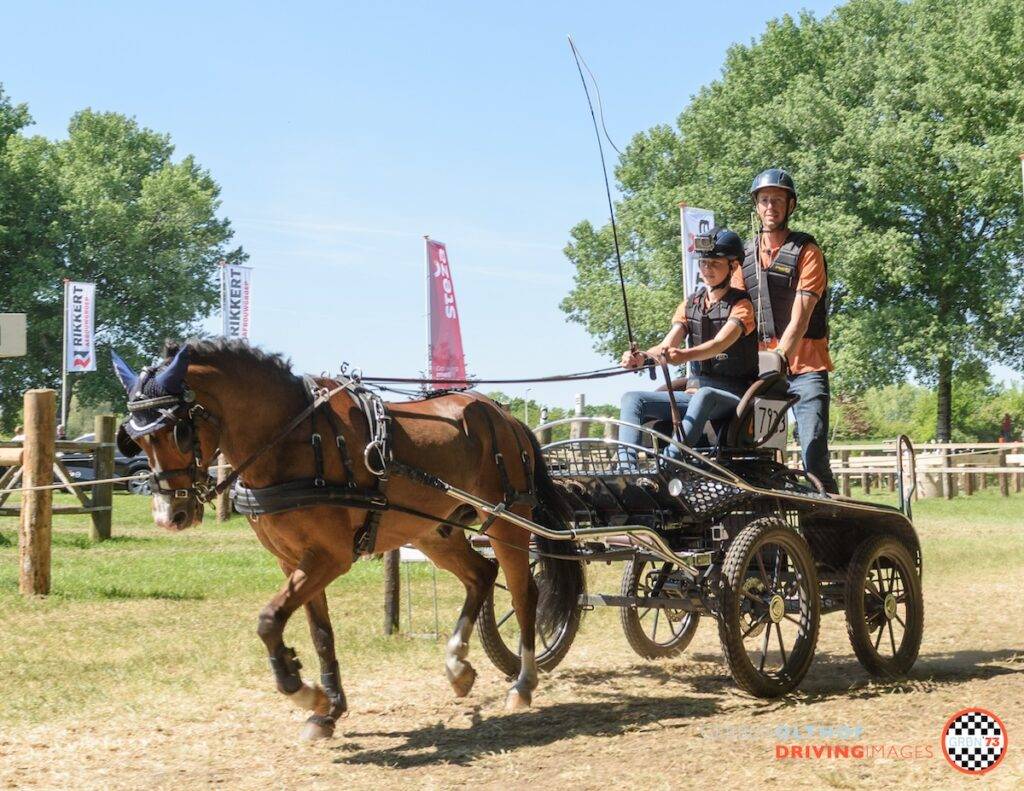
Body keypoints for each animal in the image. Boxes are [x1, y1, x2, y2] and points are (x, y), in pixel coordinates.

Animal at [110, 338, 584, 740]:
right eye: (135, 438)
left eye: (178, 431)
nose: (170, 516)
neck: (293, 440)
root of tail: (506, 416)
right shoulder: (293, 560)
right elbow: (320, 633)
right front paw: (328, 709)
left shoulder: (329, 557)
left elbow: (268, 620)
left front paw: (302, 690)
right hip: (434, 531)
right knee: (481, 575)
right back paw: (458, 667)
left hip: (507, 521)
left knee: (524, 592)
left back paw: (522, 683)